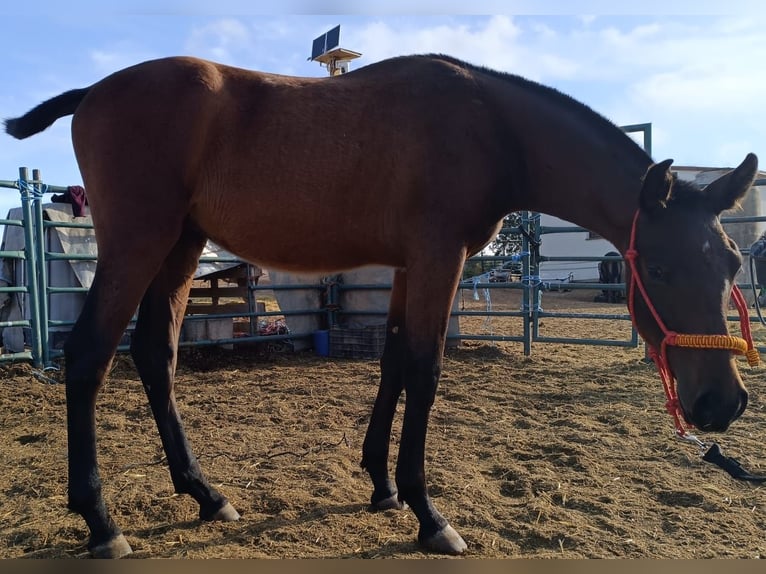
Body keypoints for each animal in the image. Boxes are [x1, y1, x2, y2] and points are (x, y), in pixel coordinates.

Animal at [4, 54, 758, 558]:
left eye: (730, 263)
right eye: (656, 267)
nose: (720, 403)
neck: (490, 127)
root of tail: (94, 92)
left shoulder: (406, 268)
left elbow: (394, 364)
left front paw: (382, 486)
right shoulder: (438, 258)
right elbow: (425, 372)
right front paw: (429, 514)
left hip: (181, 247)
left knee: (155, 355)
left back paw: (206, 494)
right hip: (139, 241)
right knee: (88, 357)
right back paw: (102, 522)